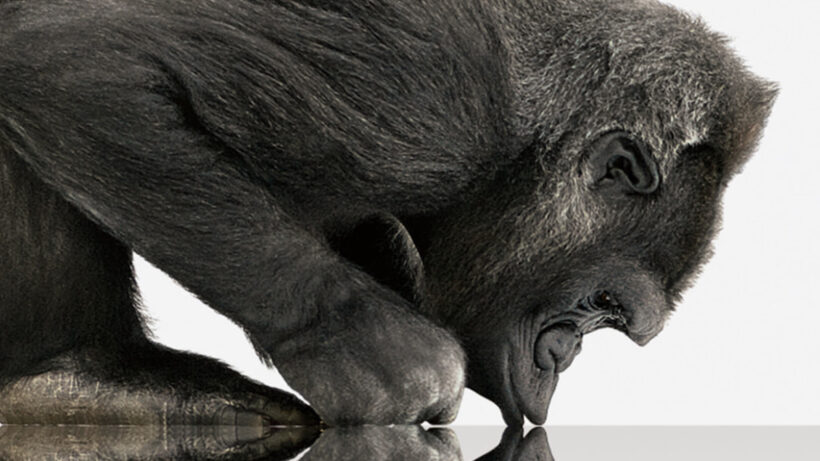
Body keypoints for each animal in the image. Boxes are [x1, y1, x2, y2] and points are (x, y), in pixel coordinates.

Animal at [0, 0, 775, 426]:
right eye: (602, 304)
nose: (563, 356)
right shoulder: (435, 95)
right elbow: (74, 65)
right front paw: (377, 356)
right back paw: (89, 370)